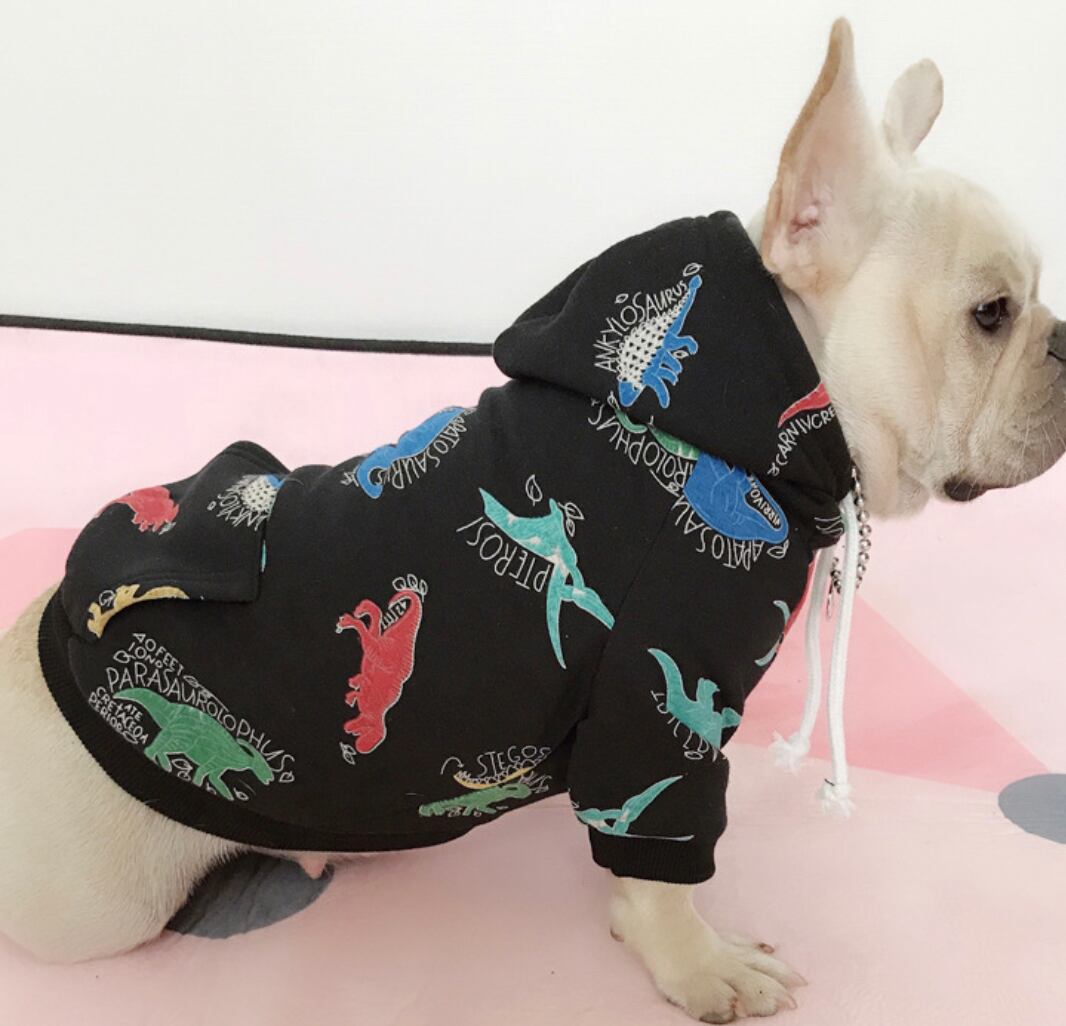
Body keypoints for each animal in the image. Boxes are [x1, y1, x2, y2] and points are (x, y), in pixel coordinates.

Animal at [1, 19, 1063, 1024]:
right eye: (991, 313)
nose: (1064, 341)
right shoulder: (658, 704)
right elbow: (662, 858)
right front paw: (699, 963)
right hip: (91, 900)